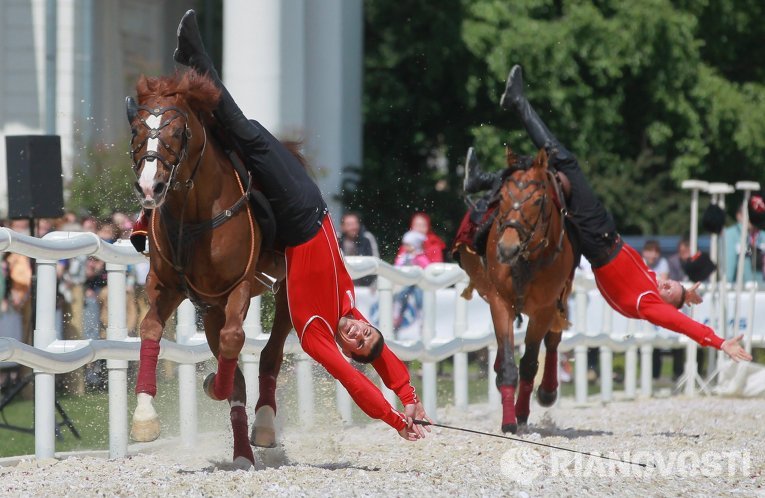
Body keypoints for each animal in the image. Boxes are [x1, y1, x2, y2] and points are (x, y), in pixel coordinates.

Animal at [125, 72, 292, 468]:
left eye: (178, 131)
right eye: (137, 129)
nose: (149, 186)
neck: (194, 212)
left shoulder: (238, 287)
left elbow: (234, 341)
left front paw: (214, 384)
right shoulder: (166, 286)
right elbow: (150, 329)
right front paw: (144, 418)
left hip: (282, 289)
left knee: (271, 349)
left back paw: (263, 423)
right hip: (211, 308)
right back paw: (242, 451)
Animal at [454, 147, 572, 432]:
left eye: (538, 200)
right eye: (503, 197)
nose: (507, 248)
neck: (528, 258)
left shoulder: (544, 309)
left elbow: (529, 363)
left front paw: (521, 413)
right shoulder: (500, 302)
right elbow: (509, 364)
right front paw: (509, 421)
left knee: (553, 341)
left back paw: (548, 391)